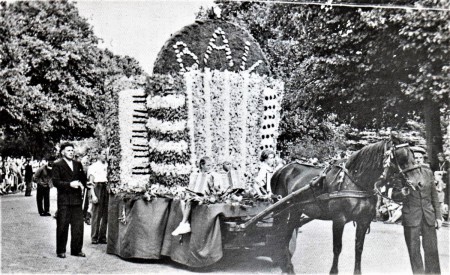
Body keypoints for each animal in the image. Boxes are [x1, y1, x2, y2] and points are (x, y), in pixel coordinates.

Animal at [268, 139, 430, 274]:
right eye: (402, 158)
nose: (420, 183)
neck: (357, 182)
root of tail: (282, 169)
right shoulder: (339, 219)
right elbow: (337, 247)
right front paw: (333, 271)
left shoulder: (363, 221)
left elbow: (359, 247)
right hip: (283, 209)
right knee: (281, 233)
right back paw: (286, 265)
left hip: (295, 210)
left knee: (286, 233)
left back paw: (286, 265)